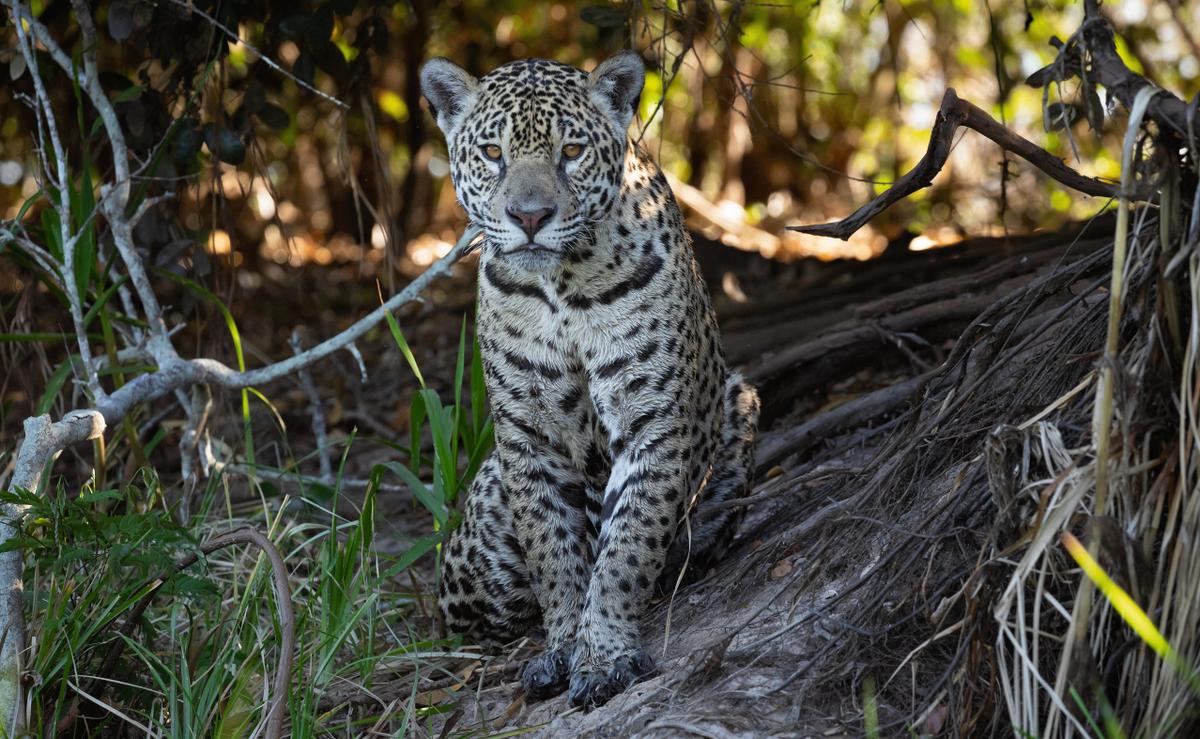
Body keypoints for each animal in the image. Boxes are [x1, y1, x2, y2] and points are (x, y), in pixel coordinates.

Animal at [420, 51, 760, 710]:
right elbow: (553, 552)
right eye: (493, 153)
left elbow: (628, 547)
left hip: (740, 402)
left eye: (571, 150)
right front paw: (561, 646)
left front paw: (603, 655)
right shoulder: (528, 439)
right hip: (484, 532)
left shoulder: (652, 422)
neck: (561, 288)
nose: (529, 217)